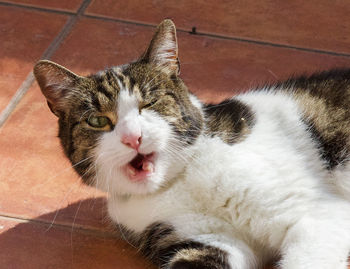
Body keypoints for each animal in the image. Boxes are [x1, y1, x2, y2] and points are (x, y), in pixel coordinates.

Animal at [33, 19, 350, 268]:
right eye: (98, 121)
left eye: (150, 103)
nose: (133, 137)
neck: (178, 184)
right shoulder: (206, 240)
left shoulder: (316, 213)